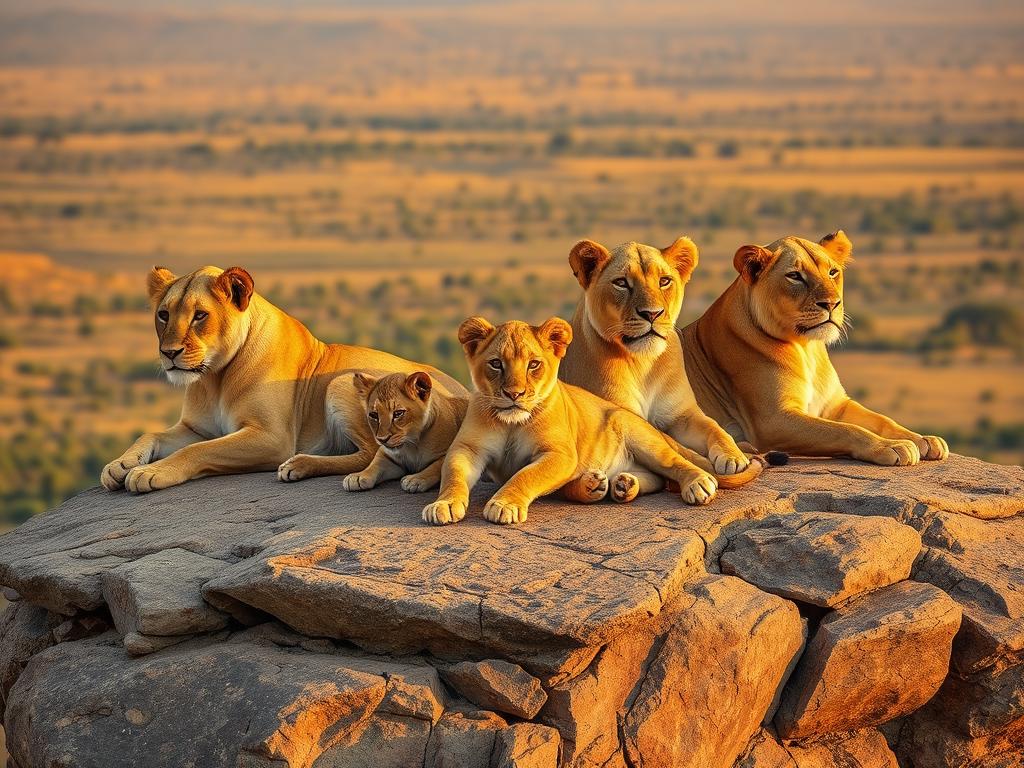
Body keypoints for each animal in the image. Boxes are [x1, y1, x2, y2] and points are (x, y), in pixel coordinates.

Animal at [334, 371, 468, 493]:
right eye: (374, 415)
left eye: (398, 413)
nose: (382, 439)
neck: (413, 444)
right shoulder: (390, 458)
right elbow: (375, 465)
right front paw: (357, 476)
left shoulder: (449, 452)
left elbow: (435, 467)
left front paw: (415, 479)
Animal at [421, 316, 726, 527]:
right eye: (496, 364)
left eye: (533, 364)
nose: (513, 394)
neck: (512, 423)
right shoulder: (468, 449)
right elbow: (453, 475)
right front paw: (443, 504)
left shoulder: (560, 454)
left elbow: (525, 476)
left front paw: (504, 504)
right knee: (655, 479)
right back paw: (617, 485)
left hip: (640, 436)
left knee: (673, 464)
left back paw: (697, 484)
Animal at [559, 236, 764, 488]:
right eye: (621, 283)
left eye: (664, 281)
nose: (652, 314)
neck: (643, 364)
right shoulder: (619, 416)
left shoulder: (682, 415)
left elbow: (713, 427)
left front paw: (733, 457)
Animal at [680, 230, 949, 465]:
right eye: (795, 276)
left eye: (832, 272)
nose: (832, 304)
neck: (806, 349)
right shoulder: (773, 419)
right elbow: (846, 430)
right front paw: (891, 446)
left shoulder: (835, 405)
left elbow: (882, 420)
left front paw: (923, 440)